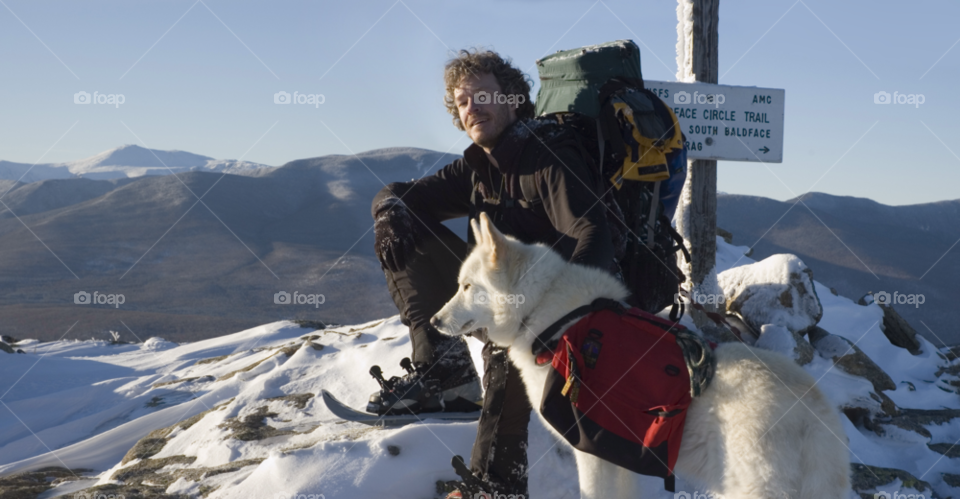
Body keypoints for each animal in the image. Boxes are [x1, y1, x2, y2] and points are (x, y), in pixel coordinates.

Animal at [432, 214, 852, 499]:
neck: (546, 312)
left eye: (466, 287)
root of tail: (817, 416)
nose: (434, 321)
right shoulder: (620, 456)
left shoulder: (591, 454)